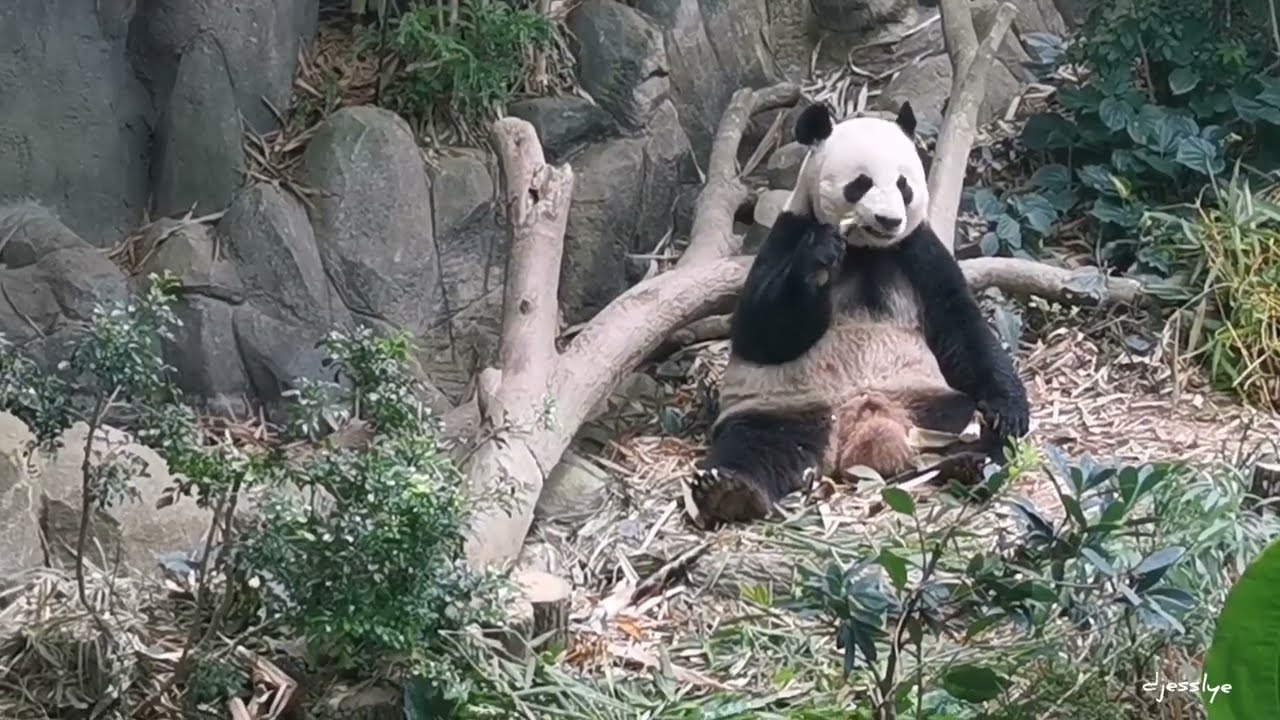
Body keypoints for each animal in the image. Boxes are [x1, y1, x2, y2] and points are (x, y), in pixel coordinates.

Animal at [689, 100, 1031, 524]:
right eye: (861, 183)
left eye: (904, 185)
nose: (889, 220)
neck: (865, 250)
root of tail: (862, 422)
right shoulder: (786, 235)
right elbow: (759, 334)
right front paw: (819, 258)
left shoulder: (918, 251)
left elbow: (962, 326)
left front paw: (1010, 409)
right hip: (785, 407)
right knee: (754, 445)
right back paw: (729, 492)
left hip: (927, 400)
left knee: (970, 426)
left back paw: (974, 465)